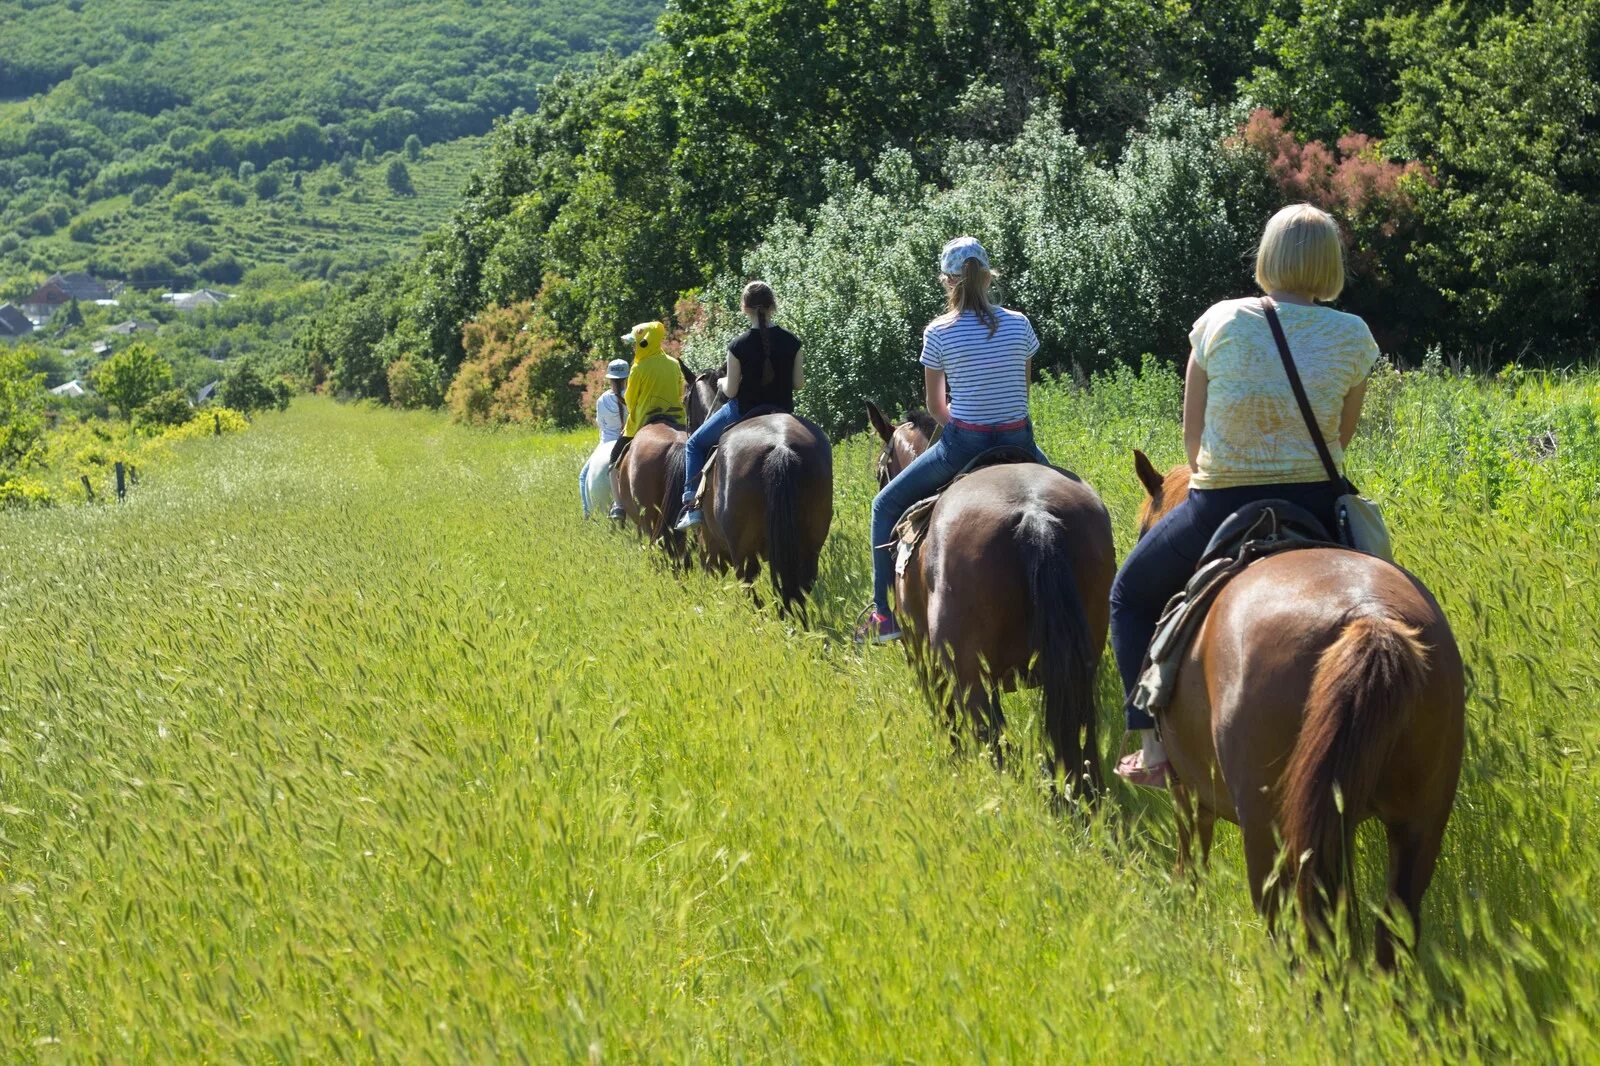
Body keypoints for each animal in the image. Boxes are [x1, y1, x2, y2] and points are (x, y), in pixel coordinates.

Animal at [691, 409, 832, 617]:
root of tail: (781, 446)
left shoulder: (711, 544)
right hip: (810, 547)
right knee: (801, 585)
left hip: (743, 554)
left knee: (750, 588)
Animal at [870, 403, 1120, 793]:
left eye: (881, 469)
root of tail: (1035, 515)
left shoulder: (923, 660)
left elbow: (948, 725)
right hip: (1081, 666)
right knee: (1081, 746)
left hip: (971, 678)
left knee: (996, 746)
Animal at [1126, 444, 1465, 960]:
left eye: (1145, 527)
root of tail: (1371, 618)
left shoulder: (1187, 788)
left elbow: (1191, 853)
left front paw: (1187, 901)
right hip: (1417, 828)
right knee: (1393, 930)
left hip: (1272, 835)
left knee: (1294, 934)